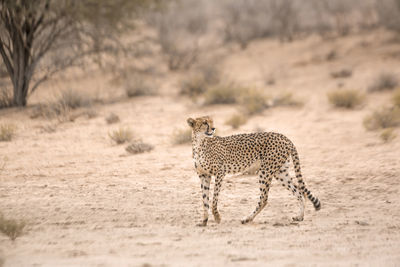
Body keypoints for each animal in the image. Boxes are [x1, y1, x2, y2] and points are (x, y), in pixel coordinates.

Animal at [188, 116, 322, 227]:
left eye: (211, 122)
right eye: (205, 122)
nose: (213, 128)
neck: (200, 143)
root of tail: (284, 137)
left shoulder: (219, 173)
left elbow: (214, 199)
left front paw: (217, 217)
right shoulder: (203, 175)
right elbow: (205, 200)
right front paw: (204, 221)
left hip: (265, 171)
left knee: (264, 199)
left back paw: (247, 218)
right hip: (280, 172)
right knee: (299, 192)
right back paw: (299, 217)